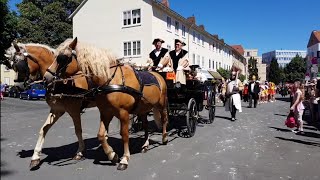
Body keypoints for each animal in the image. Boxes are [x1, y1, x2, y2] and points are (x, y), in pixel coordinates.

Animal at [4, 42, 97, 170]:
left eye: (20, 65)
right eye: (12, 65)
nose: (18, 87)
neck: (61, 81)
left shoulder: (74, 111)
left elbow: (78, 131)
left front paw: (80, 152)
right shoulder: (56, 110)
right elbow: (43, 129)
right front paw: (35, 157)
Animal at [44, 38, 170, 170]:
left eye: (62, 58)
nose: (46, 77)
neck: (110, 80)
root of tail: (157, 75)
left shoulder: (123, 113)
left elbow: (124, 134)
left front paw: (124, 159)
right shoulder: (106, 112)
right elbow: (101, 135)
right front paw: (112, 155)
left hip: (161, 105)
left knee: (164, 119)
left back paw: (164, 137)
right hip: (143, 109)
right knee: (145, 125)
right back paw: (145, 145)